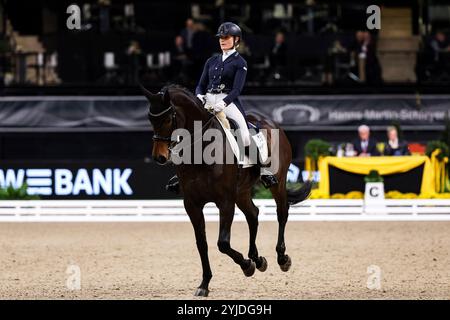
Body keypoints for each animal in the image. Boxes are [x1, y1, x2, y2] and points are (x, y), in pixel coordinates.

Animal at [142, 84, 312, 298]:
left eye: (167, 118)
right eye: (150, 119)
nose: (160, 157)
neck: (202, 150)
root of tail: (270, 123)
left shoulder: (225, 201)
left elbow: (222, 243)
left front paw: (246, 266)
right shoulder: (192, 204)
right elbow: (202, 244)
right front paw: (204, 284)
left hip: (277, 182)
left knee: (282, 213)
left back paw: (281, 258)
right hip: (241, 191)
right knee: (253, 215)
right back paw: (258, 259)